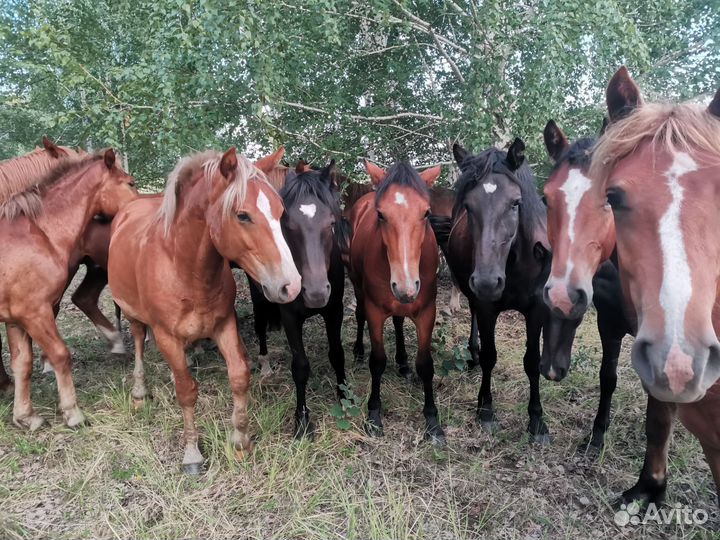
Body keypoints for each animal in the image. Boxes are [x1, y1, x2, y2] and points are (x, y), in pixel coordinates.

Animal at [0, 149, 138, 430]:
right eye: (130, 183)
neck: (40, 234)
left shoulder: (16, 319)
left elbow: (22, 364)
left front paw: (25, 416)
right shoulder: (35, 313)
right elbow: (61, 355)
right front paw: (72, 412)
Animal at [107, 147, 301, 473]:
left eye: (280, 212)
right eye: (242, 215)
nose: (292, 286)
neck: (184, 269)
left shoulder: (224, 325)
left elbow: (239, 376)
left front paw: (240, 441)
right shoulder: (167, 336)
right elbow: (187, 391)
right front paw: (192, 452)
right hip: (133, 313)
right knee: (138, 341)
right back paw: (139, 392)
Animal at [347, 160, 444, 444]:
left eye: (426, 213)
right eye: (380, 215)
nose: (405, 286)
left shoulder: (427, 312)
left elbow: (426, 364)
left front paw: (432, 421)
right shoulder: (375, 312)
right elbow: (377, 362)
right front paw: (374, 415)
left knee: (400, 321)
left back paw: (402, 361)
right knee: (359, 315)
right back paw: (359, 350)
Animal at [442, 139, 553, 443]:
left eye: (515, 203)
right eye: (468, 206)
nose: (487, 282)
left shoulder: (537, 311)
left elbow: (532, 362)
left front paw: (537, 420)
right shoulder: (487, 306)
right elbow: (490, 356)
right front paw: (486, 410)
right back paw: (473, 353)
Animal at [540, 120, 633, 451]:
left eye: (611, 197)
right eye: (545, 198)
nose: (562, 296)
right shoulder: (610, 327)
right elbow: (608, 378)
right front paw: (597, 436)